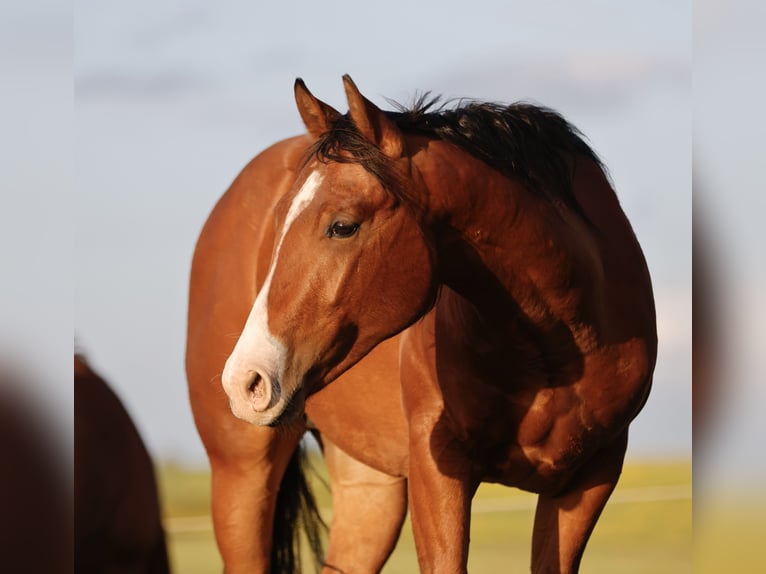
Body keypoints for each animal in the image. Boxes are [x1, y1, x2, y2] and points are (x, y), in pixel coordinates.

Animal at [220, 75, 657, 574]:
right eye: (278, 220)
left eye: (343, 226)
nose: (245, 380)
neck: (552, 351)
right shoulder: (438, 466)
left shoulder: (589, 478)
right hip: (243, 473)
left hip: (371, 487)